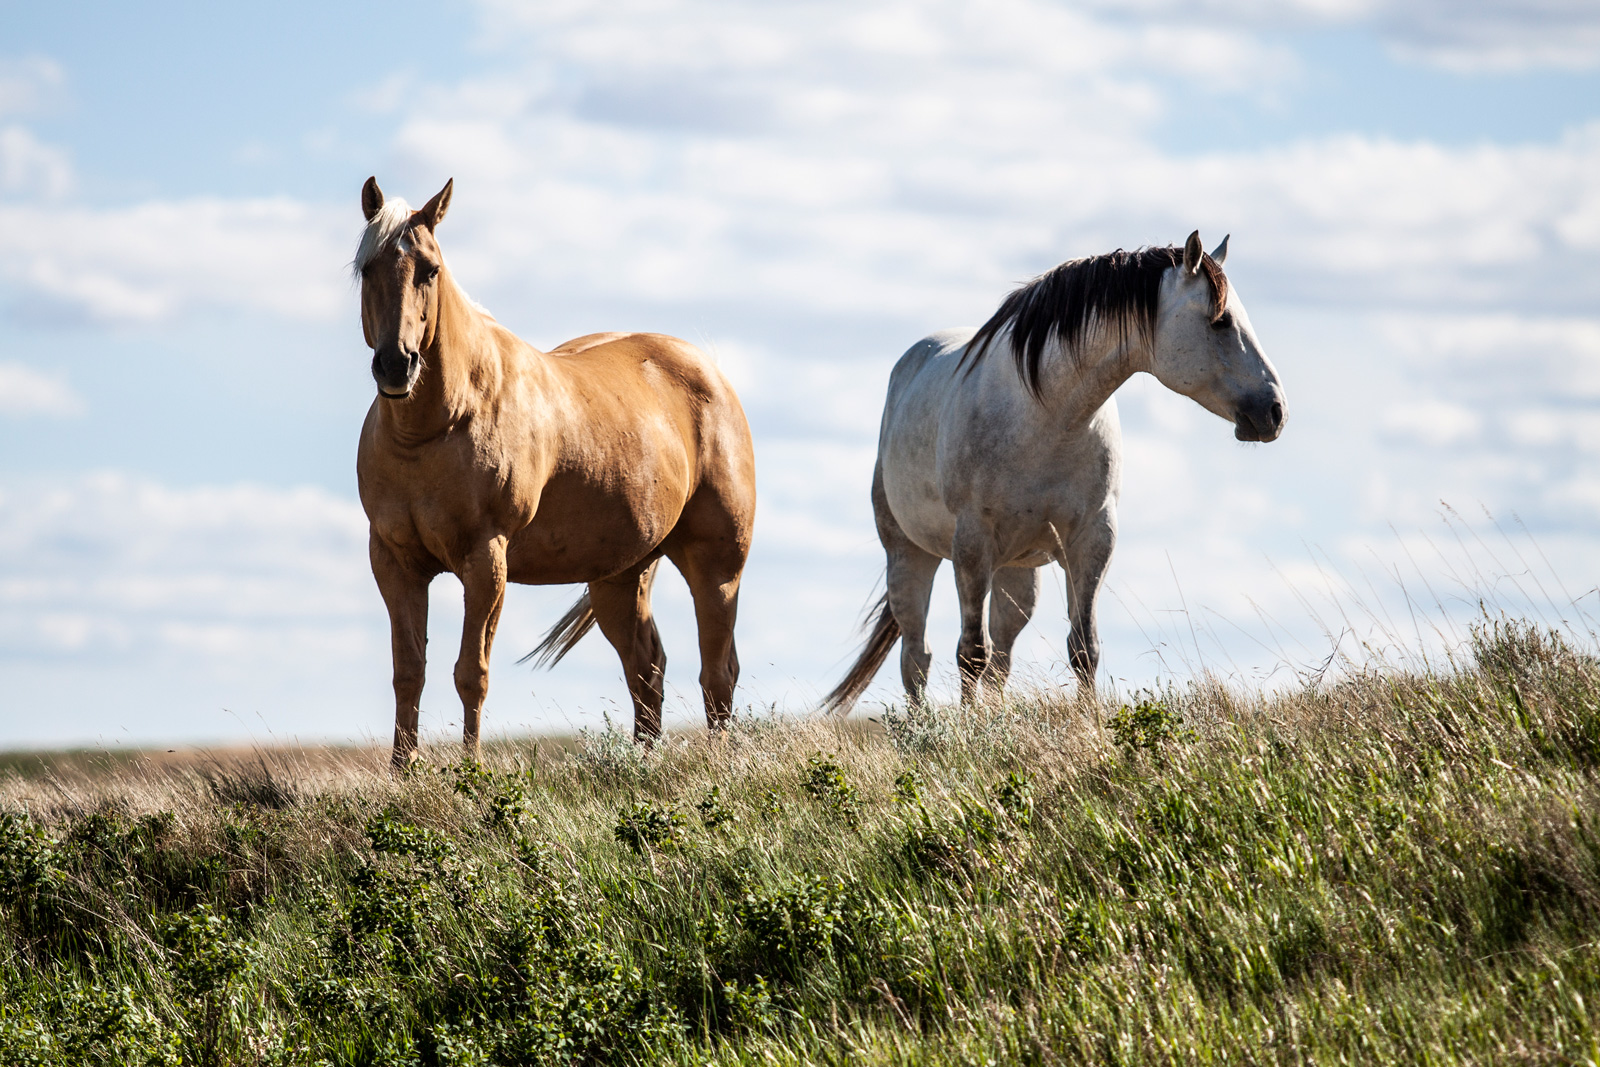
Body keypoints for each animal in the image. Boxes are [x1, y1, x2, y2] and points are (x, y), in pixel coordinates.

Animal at [353, 177, 756, 769]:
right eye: (367, 268)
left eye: (429, 269)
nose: (395, 365)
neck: (434, 428)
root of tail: (711, 371)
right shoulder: (395, 562)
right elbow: (409, 674)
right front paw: (402, 774)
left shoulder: (486, 560)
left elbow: (471, 673)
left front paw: (469, 770)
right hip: (620, 577)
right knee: (647, 670)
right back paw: (642, 763)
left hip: (715, 564)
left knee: (718, 672)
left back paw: (719, 764)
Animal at [825, 231, 1287, 712]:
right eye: (1221, 321)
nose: (1274, 411)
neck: (1046, 417)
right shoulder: (971, 545)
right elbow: (970, 652)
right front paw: (970, 727)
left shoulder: (1093, 540)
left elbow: (1083, 648)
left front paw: (1089, 720)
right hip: (911, 555)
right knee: (918, 656)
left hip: (1016, 571)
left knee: (1000, 657)